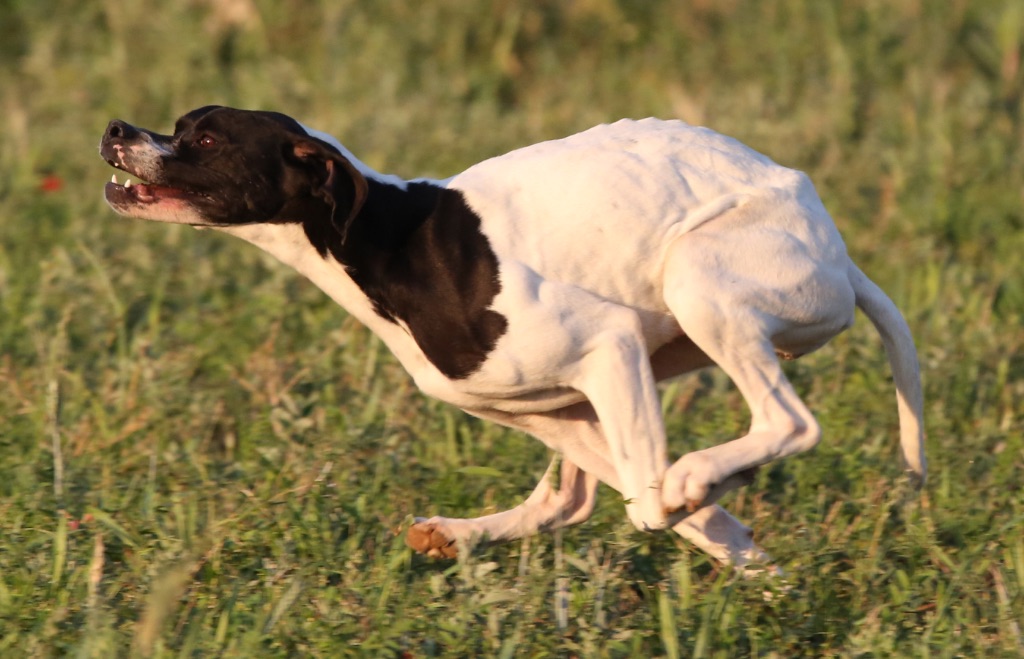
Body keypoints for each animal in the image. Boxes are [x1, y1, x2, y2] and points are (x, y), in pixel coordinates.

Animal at [97, 105, 929, 568]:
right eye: (179, 125)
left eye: (205, 139)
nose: (115, 130)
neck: (391, 240)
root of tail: (839, 255)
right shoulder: (555, 396)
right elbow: (608, 494)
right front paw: (735, 542)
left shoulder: (608, 345)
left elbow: (650, 495)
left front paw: (695, 499)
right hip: (607, 380)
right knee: (576, 497)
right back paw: (460, 533)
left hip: (698, 284)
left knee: (785, 422)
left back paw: (698, 477)